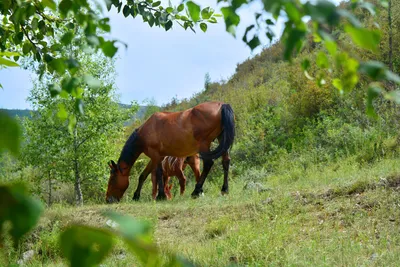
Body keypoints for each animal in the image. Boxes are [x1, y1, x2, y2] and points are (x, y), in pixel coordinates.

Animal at [105, 101, 234, 204]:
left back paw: (196, 192)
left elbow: (159, 173)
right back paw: (224, 190)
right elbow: (143, 175)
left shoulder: (156, 156)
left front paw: (161, 196)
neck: (144, 132)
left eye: (112, 179)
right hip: (221, 139)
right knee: (226, 162)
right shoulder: (156, 157)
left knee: (208, 163)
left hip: (204, 145)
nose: (108, 199)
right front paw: (136, 196)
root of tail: (222, 105)